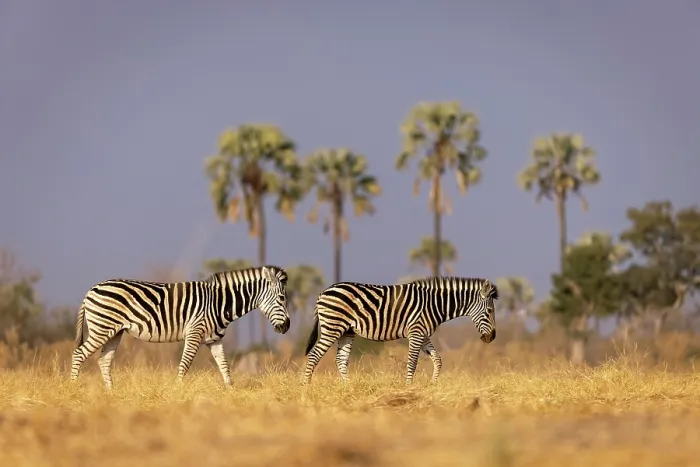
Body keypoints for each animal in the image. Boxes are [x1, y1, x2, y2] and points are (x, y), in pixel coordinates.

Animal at [70, 265, 290, 389]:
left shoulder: (214, 339)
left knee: (103, 361)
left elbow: (224, 366)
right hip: (102, 328)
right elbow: (185, 364)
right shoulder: (195, 332)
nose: (287, 327)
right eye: (282, 298)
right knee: (78, 354)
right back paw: (74, 389)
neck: (219, 303)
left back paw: (111, 394)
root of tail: (91, 290)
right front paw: (177, 392)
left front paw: (231, 393)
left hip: (114, 332)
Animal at [303, 276, 498, 385]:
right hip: (332, 327)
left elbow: (438, 360)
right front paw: (408, 387)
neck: (435, 305)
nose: (491, 338)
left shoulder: (423, 334)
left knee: (341, 360)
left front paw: (433, 385)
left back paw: (348, 388)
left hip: (346, 331)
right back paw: (305, 388)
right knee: (314, 356)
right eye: (489, 311)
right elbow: (412, 362)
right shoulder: (416, 332)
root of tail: (323, 292)